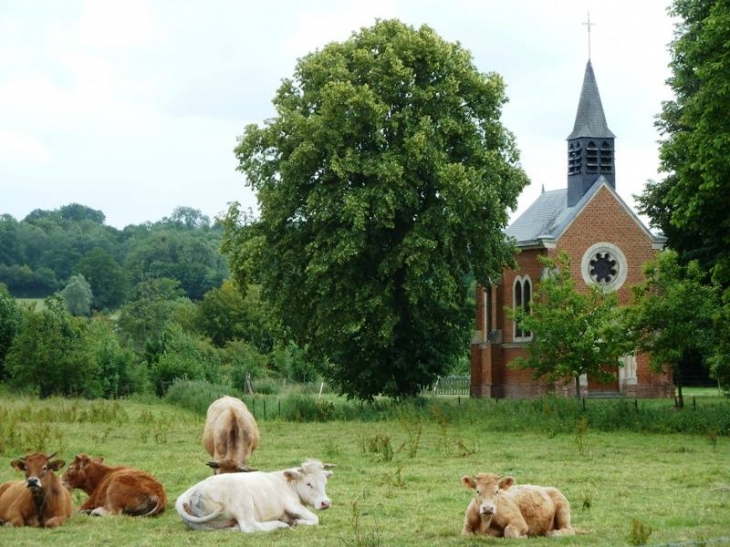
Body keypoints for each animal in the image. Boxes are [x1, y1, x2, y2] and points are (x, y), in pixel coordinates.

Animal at [173, 460, 332, 532]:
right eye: (309, 484)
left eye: (325, 482)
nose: (326, 503)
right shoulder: (291, 504)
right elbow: (315, 518)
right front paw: (297, 522)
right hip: (244, 503)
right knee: (249, 526)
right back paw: (280, 525)